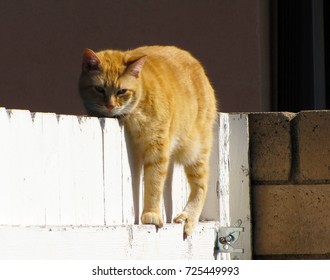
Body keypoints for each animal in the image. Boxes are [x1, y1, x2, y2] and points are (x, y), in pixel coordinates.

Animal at [79, 46, 218, 236]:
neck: (134, 110)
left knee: (201, 185)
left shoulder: (157, 147)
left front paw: (151, 214)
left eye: (121, 91)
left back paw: (188, 217)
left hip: (196, 151)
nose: (110, 106)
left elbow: (154, 182)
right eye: (99, 89)